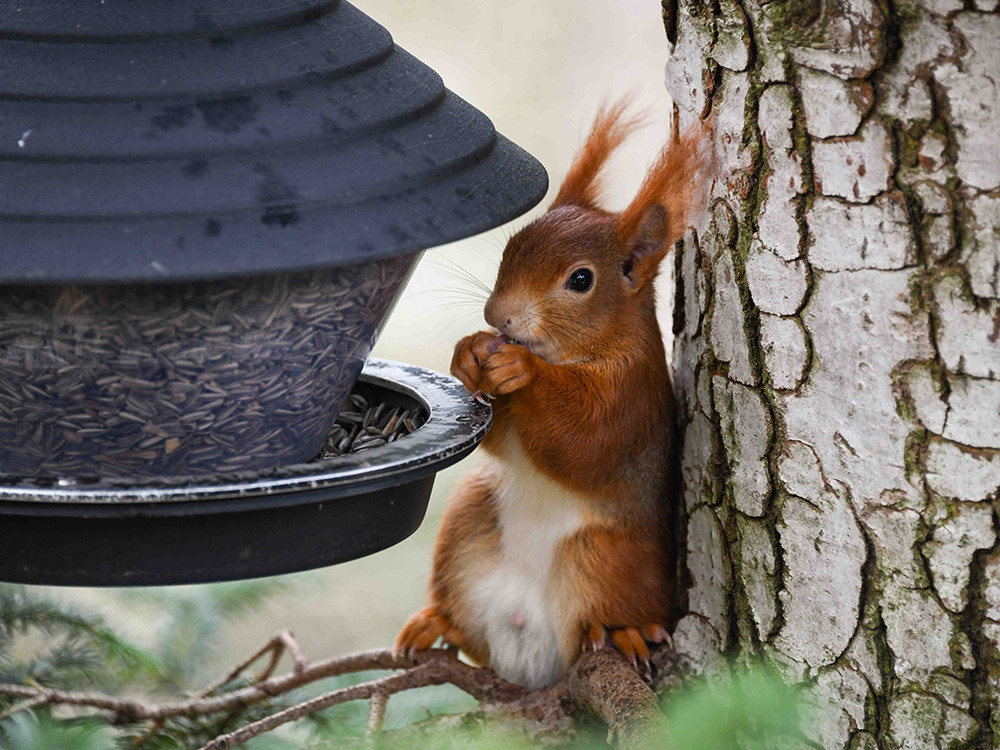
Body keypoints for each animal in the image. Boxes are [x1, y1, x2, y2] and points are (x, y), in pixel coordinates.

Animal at [395, 98, 707, 690]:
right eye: (512, 246)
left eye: (580, 280)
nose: (498, 316)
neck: (571, 354)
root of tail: (532, 659)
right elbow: (503, 441)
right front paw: (470, 352)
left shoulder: (631, 394)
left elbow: (583, 445)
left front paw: (523, 370)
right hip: (470, 521)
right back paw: (436, 621)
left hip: (605, 555)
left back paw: (625, 632)